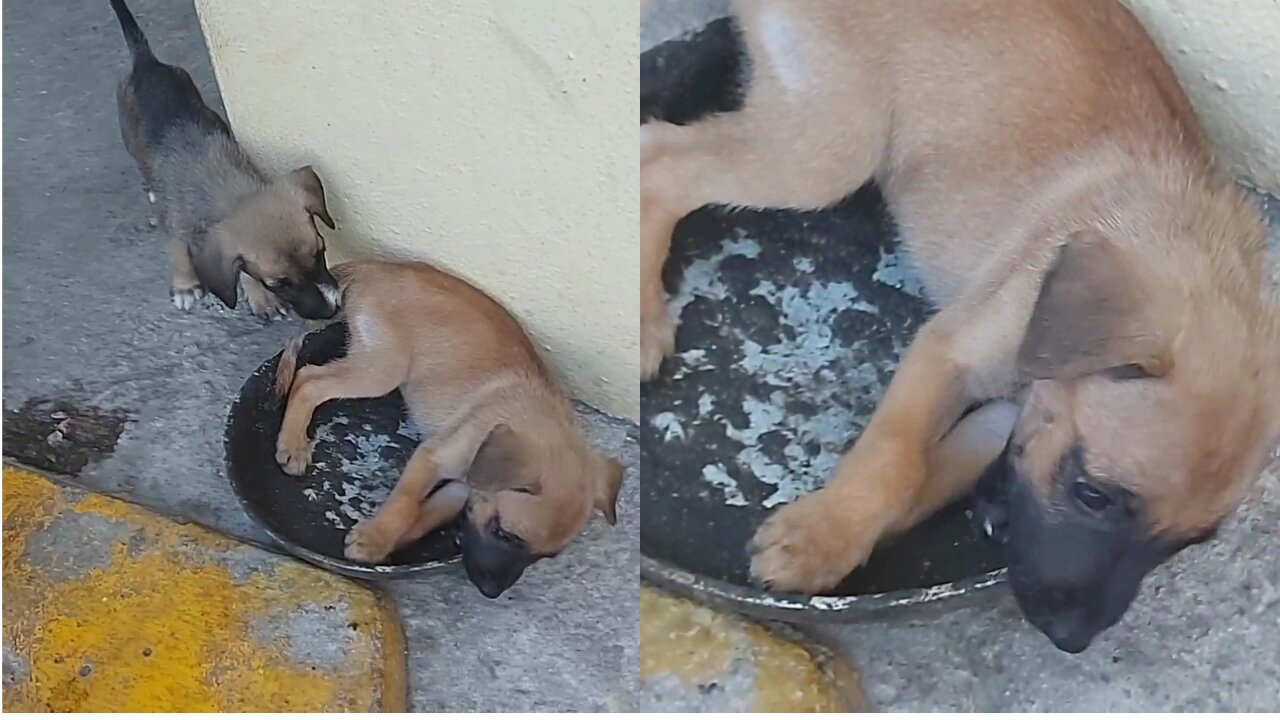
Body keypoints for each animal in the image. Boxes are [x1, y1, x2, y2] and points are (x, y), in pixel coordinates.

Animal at [110, 0, 340, 316]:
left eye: (321, 251)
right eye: (278, 283)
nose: (334, 308)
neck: (225, 185)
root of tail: (146, 64)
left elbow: (239, 268)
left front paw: (259, 297)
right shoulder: (176, 224)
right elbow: (177, 249)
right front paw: (184, 285)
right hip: (130, 138)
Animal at [275, 257, 624, 594]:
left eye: (542, 557)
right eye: (503, 534)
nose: (491, 592)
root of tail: (377, 267)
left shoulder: (461, 488)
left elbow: (423, 515)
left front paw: (384, 542)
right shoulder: (432, 457)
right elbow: (405, 503)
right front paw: (377, 536)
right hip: (383, 368)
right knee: (308, 381)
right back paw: (293, 444)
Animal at [640, 0, 1280, 650]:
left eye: (1185, 543)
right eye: (1092, 495)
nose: (1069, 637)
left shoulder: (1008, 412)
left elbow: (930, 471)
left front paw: (842, 532)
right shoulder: (952, 350)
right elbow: (896, 458)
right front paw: (824, 536)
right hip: (828, 150)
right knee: (661, 161)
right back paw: (643, 323)